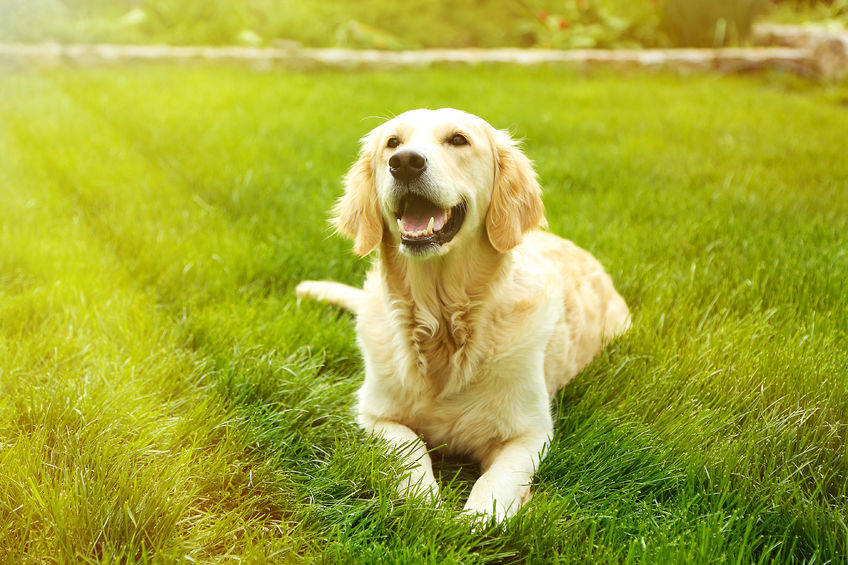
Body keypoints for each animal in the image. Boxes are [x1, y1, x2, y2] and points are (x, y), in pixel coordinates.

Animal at [298, 108, 628, 524]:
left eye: (458, 140)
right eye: (393, 142)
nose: (404, 162)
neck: (443, 323)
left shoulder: (530, 433)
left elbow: (494, 483)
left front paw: (474, 522)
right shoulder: (374, 415)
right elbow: (410, 450)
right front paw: (425, 504)